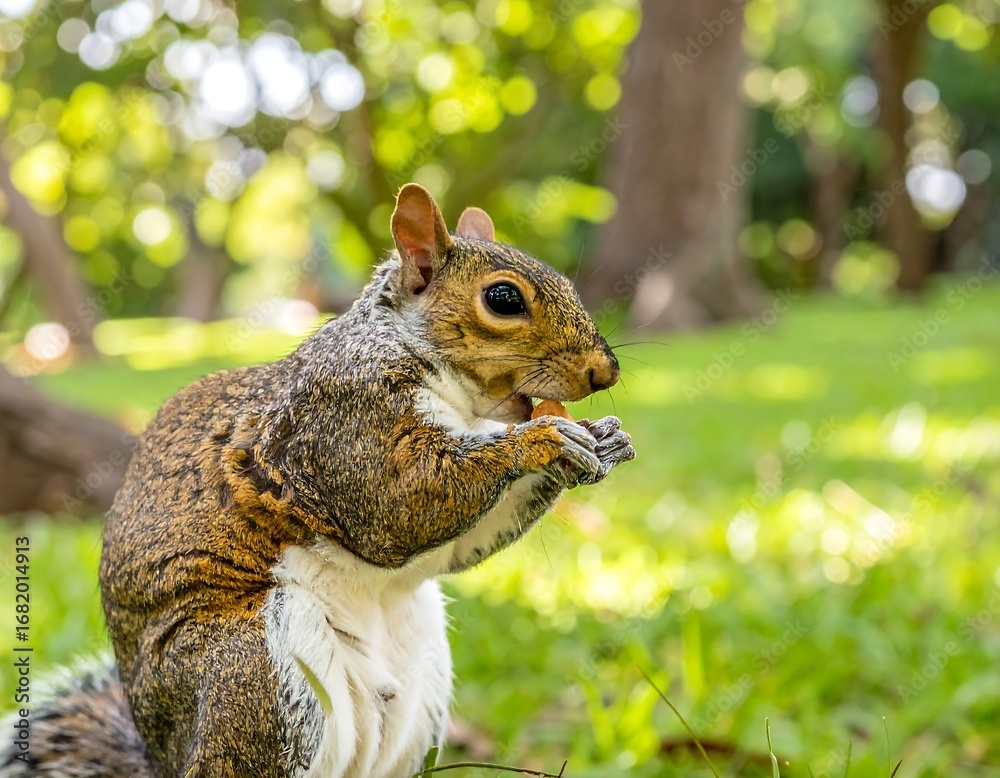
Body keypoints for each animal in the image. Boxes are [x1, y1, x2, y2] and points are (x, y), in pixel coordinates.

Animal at [1, 183, 634, 778]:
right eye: (503, 298)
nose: (605, 373)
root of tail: (164, 757)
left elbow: (453, 544)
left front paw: (604, 438)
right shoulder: (338, 423)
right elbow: (399, 505)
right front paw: (543, 439)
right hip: (248, 675)